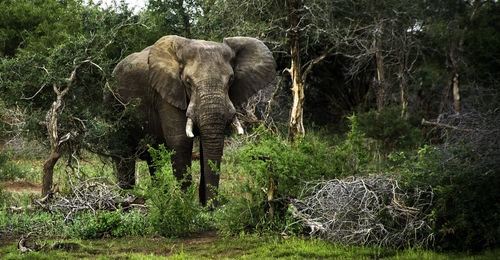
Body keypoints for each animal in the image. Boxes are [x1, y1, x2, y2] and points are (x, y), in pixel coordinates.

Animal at [108, 35, 278, 206]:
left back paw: (160, 198)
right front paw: (187, 205)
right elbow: (180, 141)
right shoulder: (168, 93)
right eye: (188, 82)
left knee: (152, 157)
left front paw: (203, 206)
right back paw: (127, 199)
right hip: (112, 104)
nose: (212, 207)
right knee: (123, 154)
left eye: (231, 80)